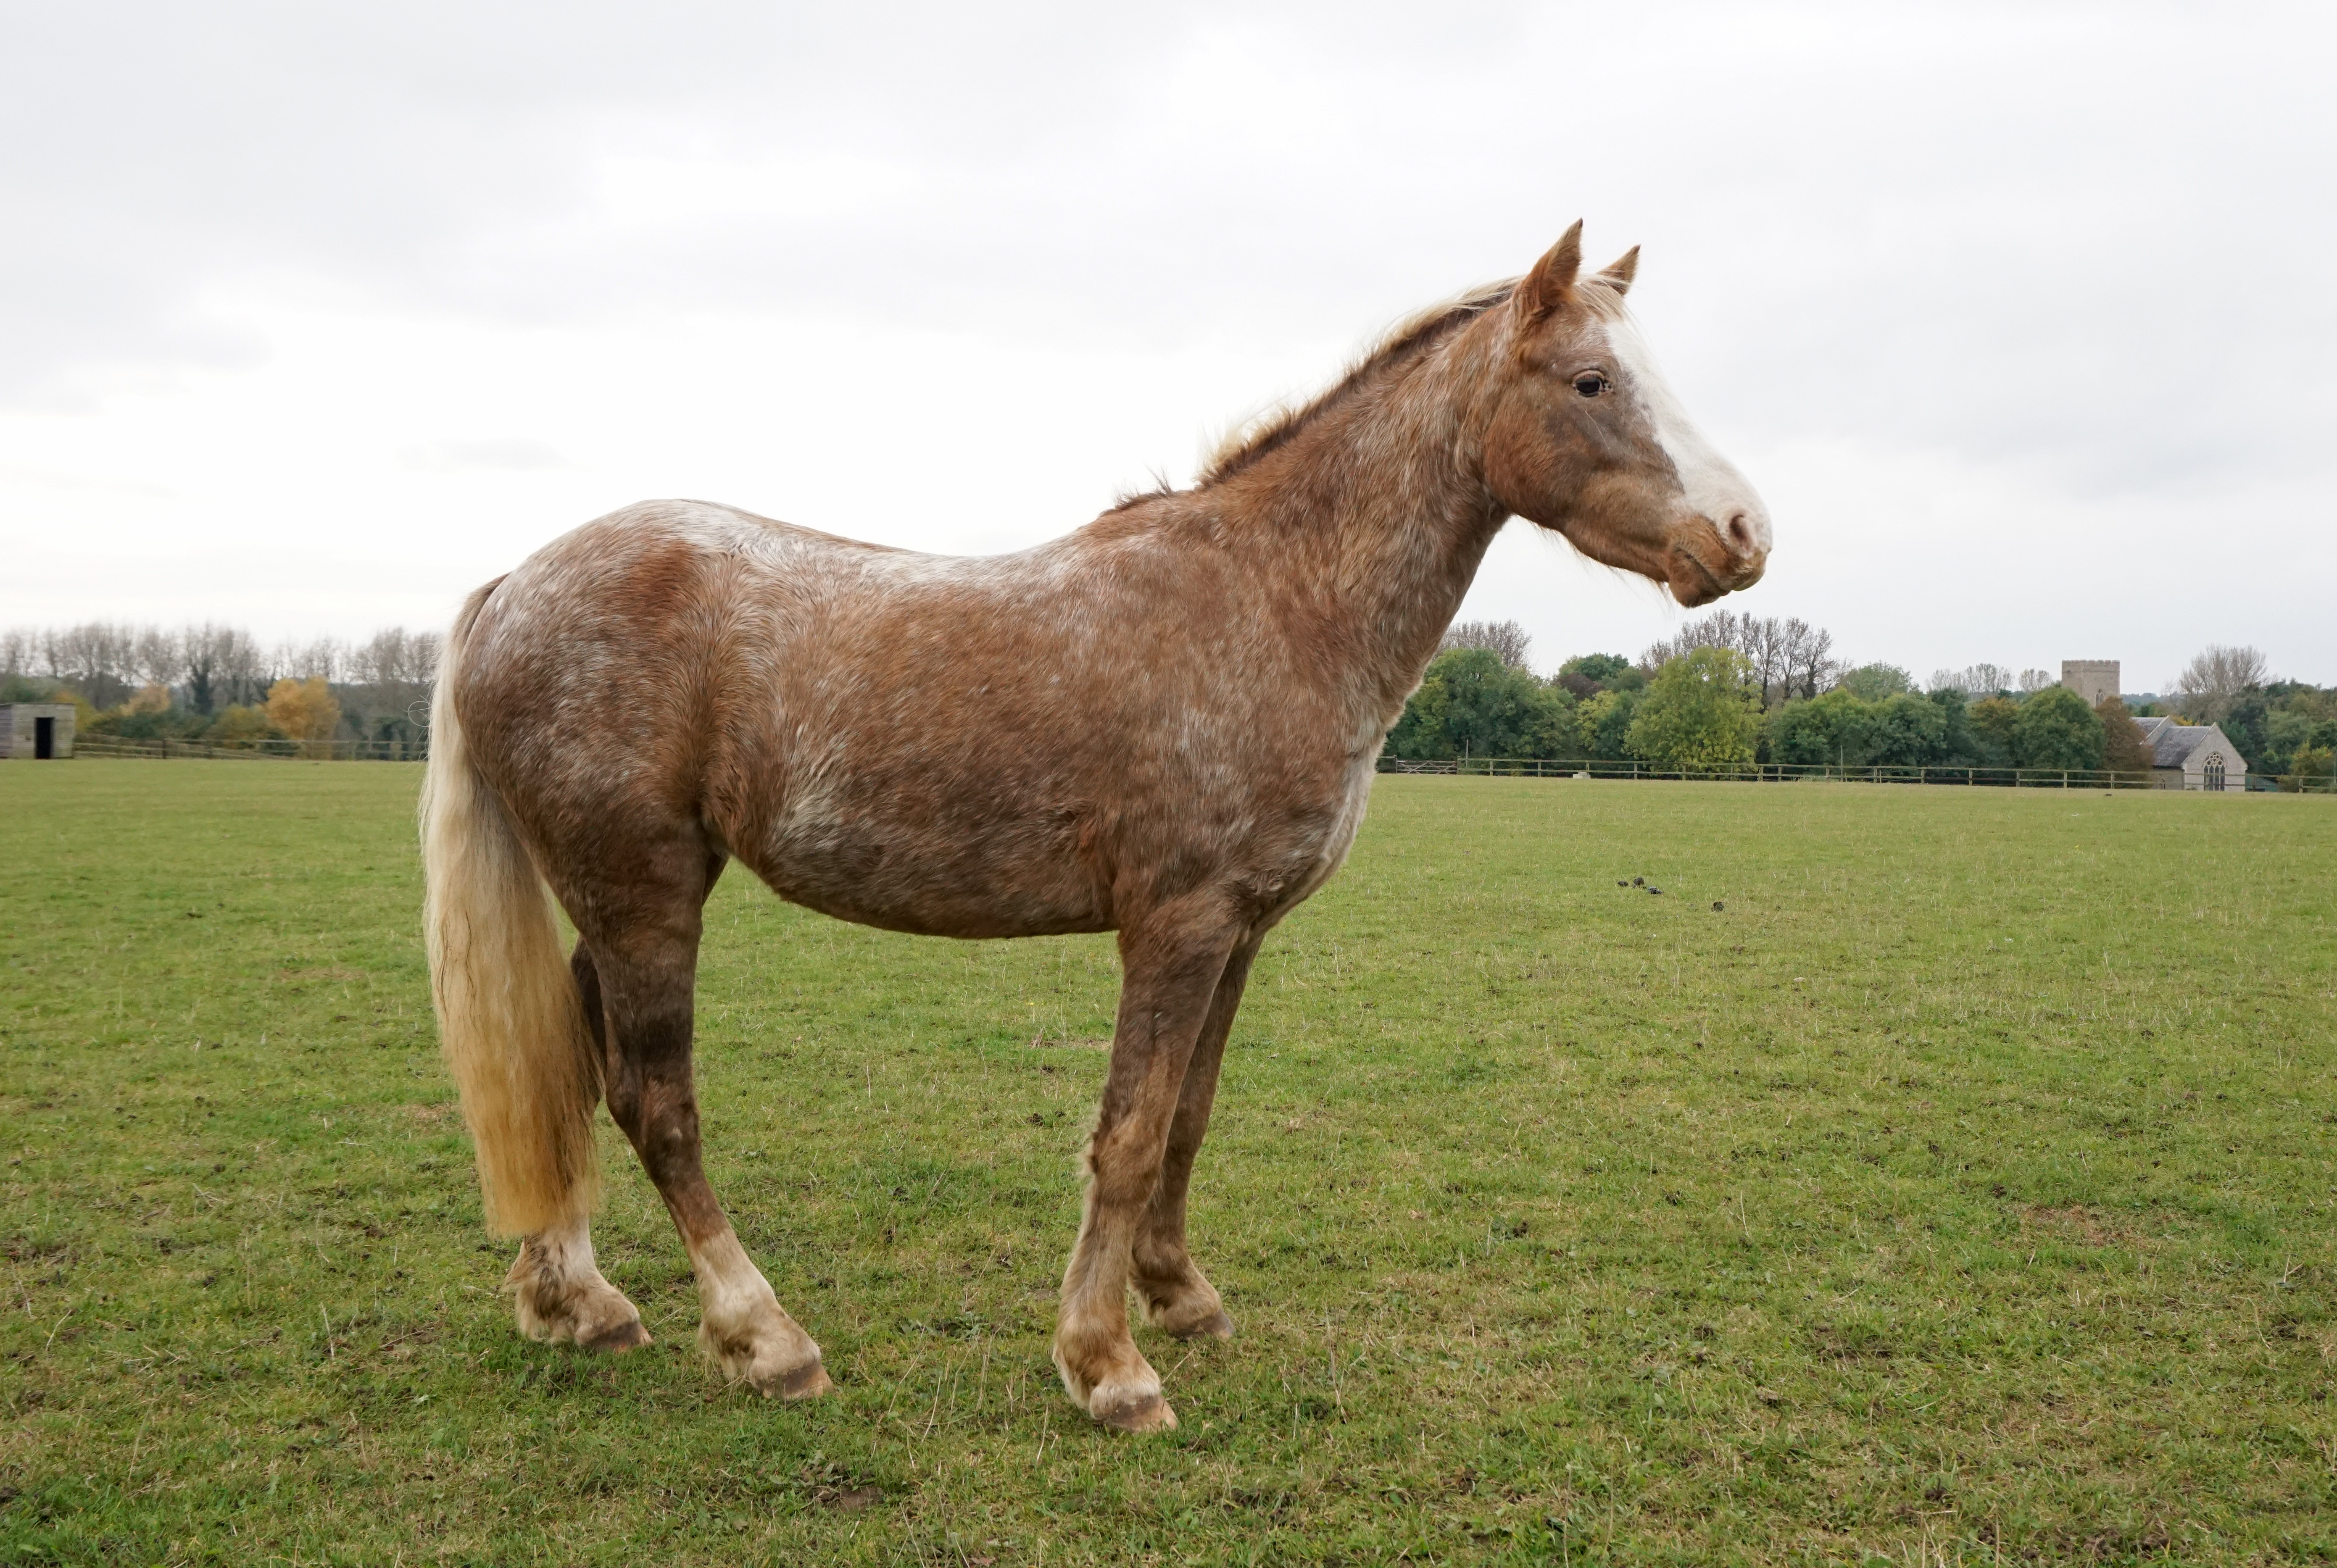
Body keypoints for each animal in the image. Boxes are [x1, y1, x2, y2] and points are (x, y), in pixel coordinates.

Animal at [421, 223, 1770, 1433]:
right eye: (1591, 381)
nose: (1746, 535)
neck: (1271, 603)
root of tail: (512, 588)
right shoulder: (1175, 925)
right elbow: (1125, 1134)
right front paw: (1107, 1364)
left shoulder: (1241, 934)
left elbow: (1187, 1117)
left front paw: (1180, 1297)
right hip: (644, 895)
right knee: (656, 1103)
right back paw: (766, 1340)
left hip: (616, 899)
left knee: (565, 1070)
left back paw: (576, 1302)